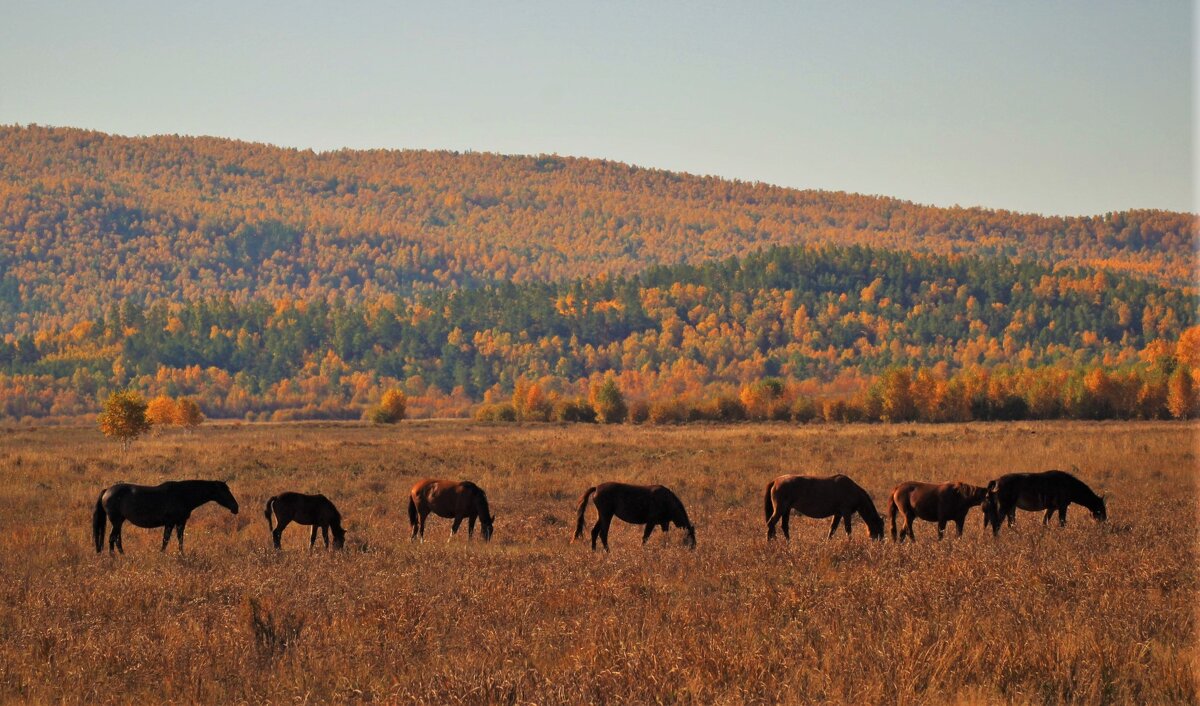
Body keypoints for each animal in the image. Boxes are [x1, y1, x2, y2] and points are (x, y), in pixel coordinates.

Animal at [90, 482, 238, 554]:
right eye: (224, 491)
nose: (236, 507)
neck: (182, 495)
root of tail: (107, 490)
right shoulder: (171, 523)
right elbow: (166, 540)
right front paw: (162, 554)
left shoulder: (180, 522)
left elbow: (180, 540)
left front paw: (181, 555)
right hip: (116, 521)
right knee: (112, 538)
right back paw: (114, 557)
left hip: (119, 521)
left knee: (117, 539)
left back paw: (122, 555)